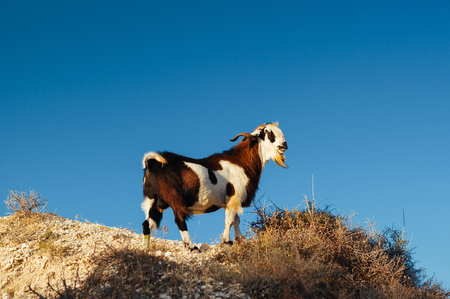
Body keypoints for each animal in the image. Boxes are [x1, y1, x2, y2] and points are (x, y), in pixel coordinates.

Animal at [142, 123, 288, 252]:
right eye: (268, 133)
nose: (284, 145)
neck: (240, 162)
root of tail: (153, 162)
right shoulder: (234, 197)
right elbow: (229, 220)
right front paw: (227, 241)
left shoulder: (235, 200)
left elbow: (236, 220)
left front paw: (240, 240)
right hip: (174, 198)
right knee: (180, 220)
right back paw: (193, 247)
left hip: (153, 199)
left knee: (147, 224)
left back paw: (146, 249)